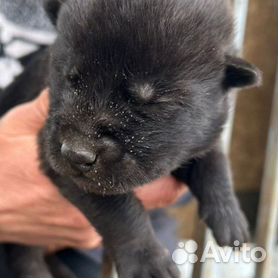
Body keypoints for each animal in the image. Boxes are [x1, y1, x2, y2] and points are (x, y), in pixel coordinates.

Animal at [1, 0, 260, 278]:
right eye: (71, 79)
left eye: (149, 101)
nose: (75, 153)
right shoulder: (53, 152)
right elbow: (119, 211)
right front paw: (147, 261)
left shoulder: (205, 130)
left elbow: (213, 159)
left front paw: (229, 215)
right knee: (25, 255)